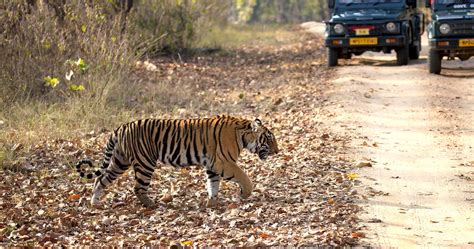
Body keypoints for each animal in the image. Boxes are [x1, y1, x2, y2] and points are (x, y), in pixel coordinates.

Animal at [76, 115, 280, 208]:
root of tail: (121, 127)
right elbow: (244, 177)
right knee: (138, 187)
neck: (243, 135)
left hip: (120, 161)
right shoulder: (224, 162)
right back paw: (152, 204)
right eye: (269, 138)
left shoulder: (213, 165)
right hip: (145, 162)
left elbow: (213, 184)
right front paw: (244, 194)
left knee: (100, 179)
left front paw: (212, 203)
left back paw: (95, 202)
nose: (278, 151)